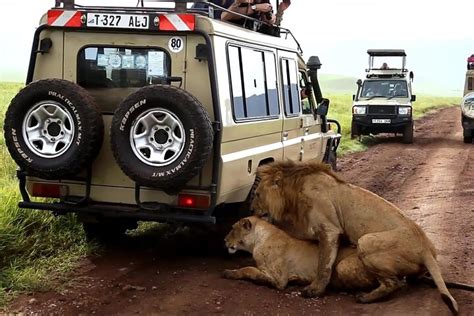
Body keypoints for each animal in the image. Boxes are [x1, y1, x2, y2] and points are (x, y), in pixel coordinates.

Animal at [223, 215, 378, 292]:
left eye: (232, 229)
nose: (224, 240)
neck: (257, 241)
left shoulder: (279, 279)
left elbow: (248, 270)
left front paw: (229, 273)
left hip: (344, 265)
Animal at [250, 162, 458, 314]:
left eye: (257, 194)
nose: (251, 210)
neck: (293, 192)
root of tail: (426, 250)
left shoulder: (329, 229)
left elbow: (323, 264)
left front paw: (314, 291)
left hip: (365, 241)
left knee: (394, 283)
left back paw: (364, 297)